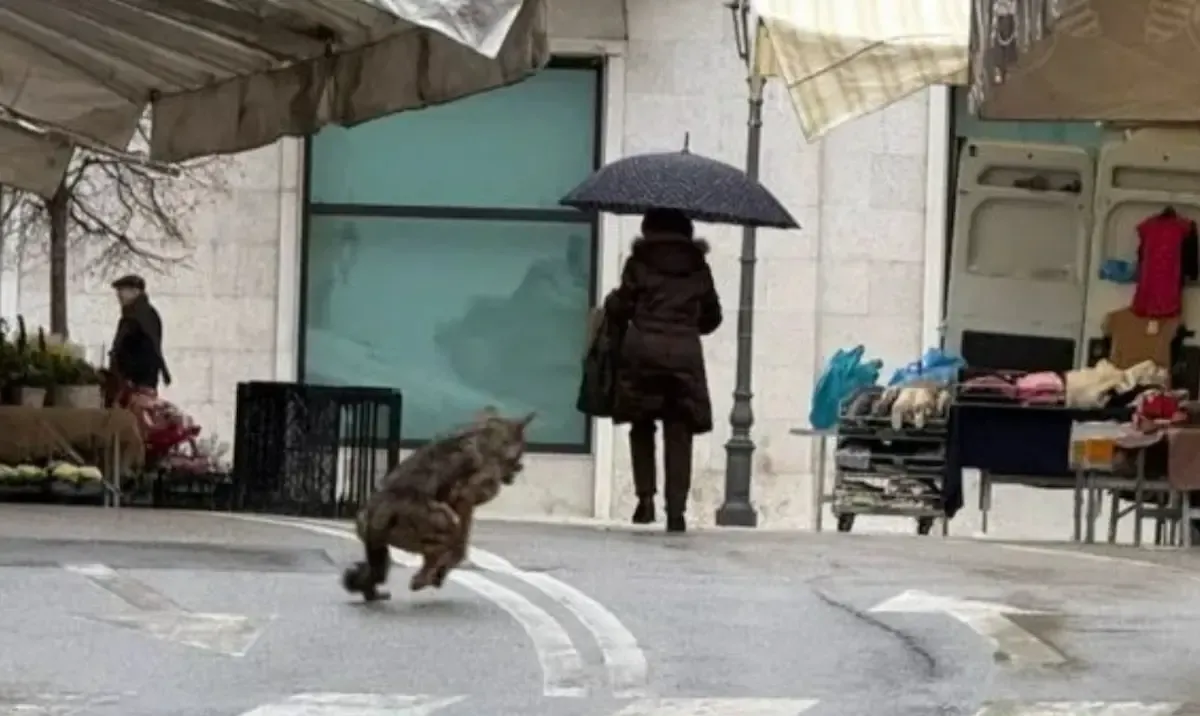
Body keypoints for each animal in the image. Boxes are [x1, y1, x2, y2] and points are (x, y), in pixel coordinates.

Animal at [342, 407, 535, 601]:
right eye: (522, 449)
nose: (521, 467)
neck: (489, 440)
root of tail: (375, 515)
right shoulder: (464, 500)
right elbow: (461, 545)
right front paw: (440, 571)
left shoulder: (459, 504)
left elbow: (459, 545)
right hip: (444, 519)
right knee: (438, 550)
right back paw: (424, 578)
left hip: (381, 549)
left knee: (376, 573)